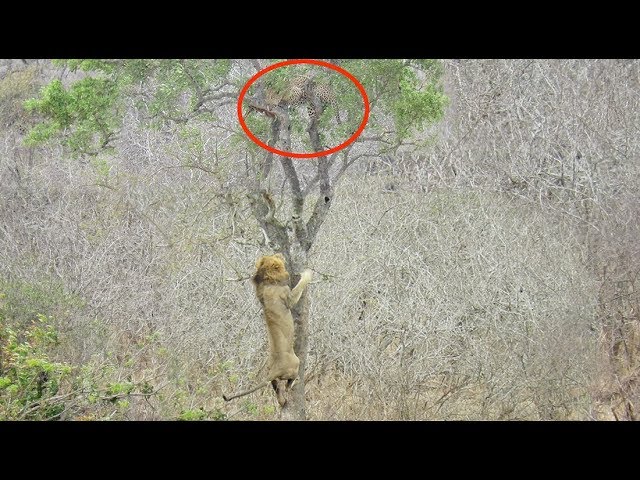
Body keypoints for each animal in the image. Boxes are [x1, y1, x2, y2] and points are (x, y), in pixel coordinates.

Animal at [222, 253, 312, 406]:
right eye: (276, 257)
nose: (280, 254)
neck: (266, 279)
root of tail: (274, 370)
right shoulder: (289, 298)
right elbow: (299, 286)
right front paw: (307, 274)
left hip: (271, 376)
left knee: (277, 391)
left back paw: (282, 401)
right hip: (296, 363)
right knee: (288, 384)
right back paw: (294, 383)